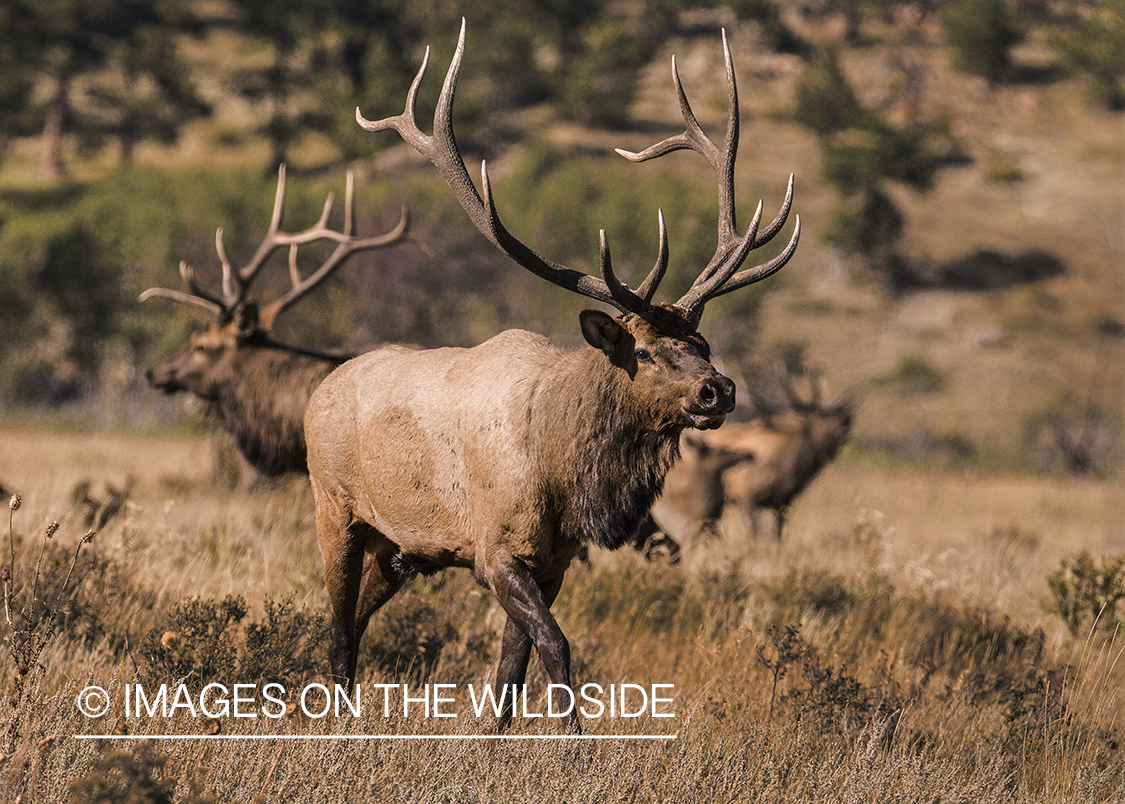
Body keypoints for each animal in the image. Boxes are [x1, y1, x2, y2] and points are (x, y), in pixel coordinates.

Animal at [306, 23, 801, 728]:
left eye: (702, 342)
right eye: (644, 351)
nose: (720, 389)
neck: (566, 474)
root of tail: (319, 390)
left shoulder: (554, 560)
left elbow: (512, 668)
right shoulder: (496, 551)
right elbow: (555, 646)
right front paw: (573, 738)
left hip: (401, 548)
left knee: (359, 617)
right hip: (336, 510)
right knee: (339, 627)